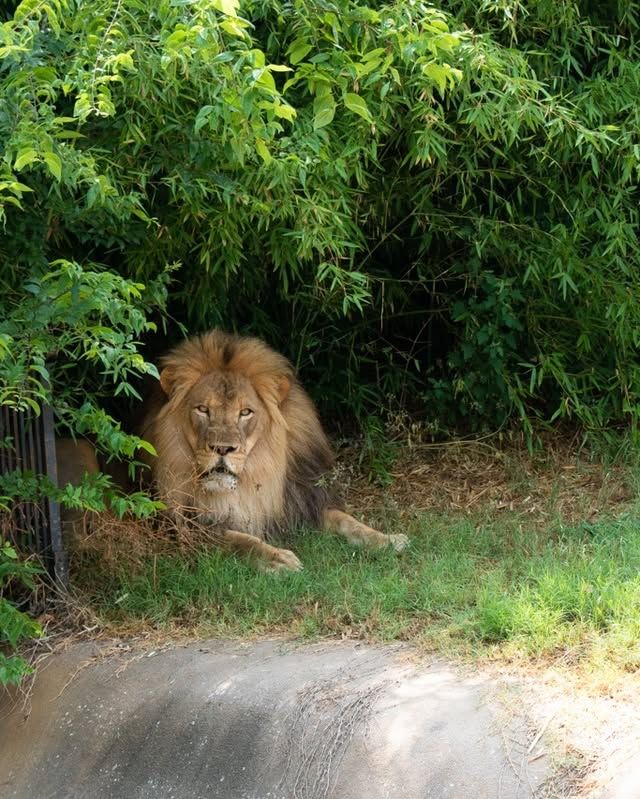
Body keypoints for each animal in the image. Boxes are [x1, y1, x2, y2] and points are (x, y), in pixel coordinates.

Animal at [142, 332, 408, 576]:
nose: (223, 448)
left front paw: (388, 539)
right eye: (202, 409)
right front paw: (277, 558)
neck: (252, 480)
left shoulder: (301, 502)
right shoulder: (185, 526)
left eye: (245, 412)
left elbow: (346, 520)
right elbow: (237, 539)